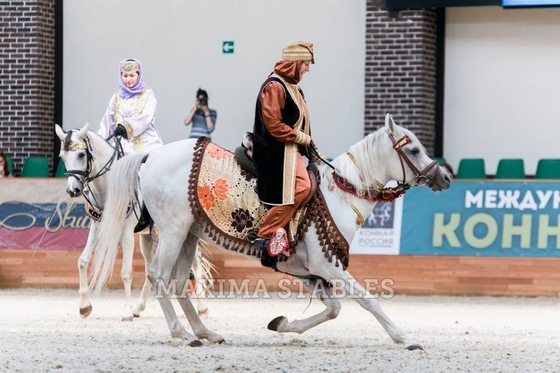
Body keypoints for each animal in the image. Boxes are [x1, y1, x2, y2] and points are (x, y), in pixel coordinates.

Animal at [54, 123, 212, 320]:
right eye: (62, 157)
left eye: (82, 154)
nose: (72, 190)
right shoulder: (97, 226)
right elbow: (82, 261)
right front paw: (84, 306)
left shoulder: (127, 231)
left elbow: (126, 273)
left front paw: (126, 310)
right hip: (148, 238)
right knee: (151, 268)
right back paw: (139, 307)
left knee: (196, 262)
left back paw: (202, 308)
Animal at [91, 114, 450, 348]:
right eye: (414, 150)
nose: (445, 177)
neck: (339, 193)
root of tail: (151, 155)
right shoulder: (327, 266)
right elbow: (367, 300)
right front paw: (404, 337)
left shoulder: (310, 270)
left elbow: (333, 309)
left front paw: (283, 324)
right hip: (173, 232)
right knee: (158, 277)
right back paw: (181, 332)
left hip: (189, 235)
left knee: (179, 283)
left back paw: (205, 332)